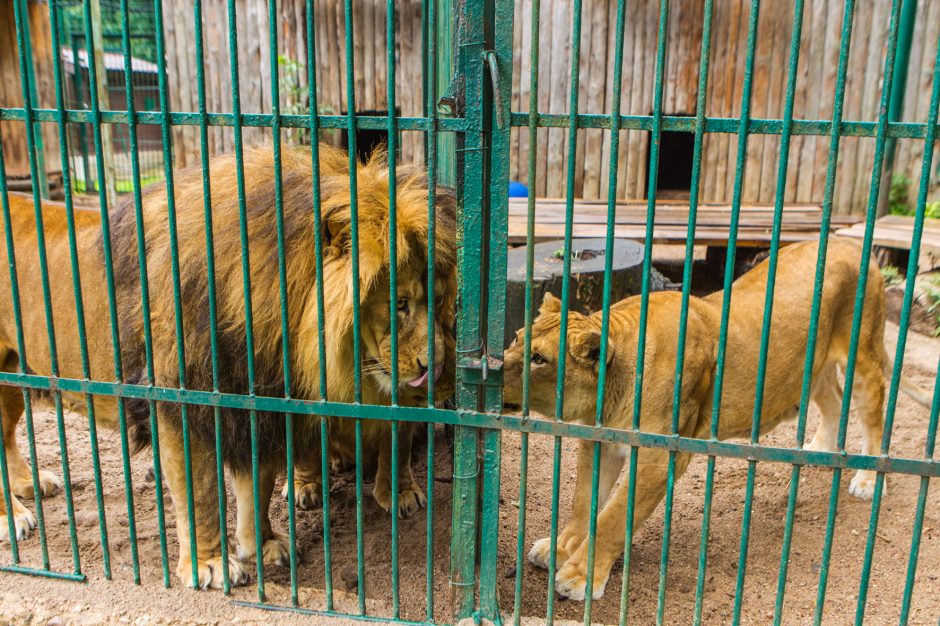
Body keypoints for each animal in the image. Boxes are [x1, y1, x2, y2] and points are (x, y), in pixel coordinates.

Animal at [0, 143, 456, 588]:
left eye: (437, 300)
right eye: (399, 303)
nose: (435, 365)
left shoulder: (257, 401)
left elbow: (258, 483)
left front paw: (263, 544)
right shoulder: (182, 406)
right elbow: (201, 494)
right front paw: (210, 564)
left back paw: (29, 486)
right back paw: (14, 518)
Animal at [504, 235, 928, 600]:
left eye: (539, 359)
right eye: (517, 338)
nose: (495, 368)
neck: (610, 393)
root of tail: (849, 241)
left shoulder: (659, 457)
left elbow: (613, 517)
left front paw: (581, 575)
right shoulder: (601, 441)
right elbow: (583, 502)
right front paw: (561, 548)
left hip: (863, 353)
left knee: (872, 412)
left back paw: (868, 479)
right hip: (812, 367)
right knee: (833, 399)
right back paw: (820, 448)